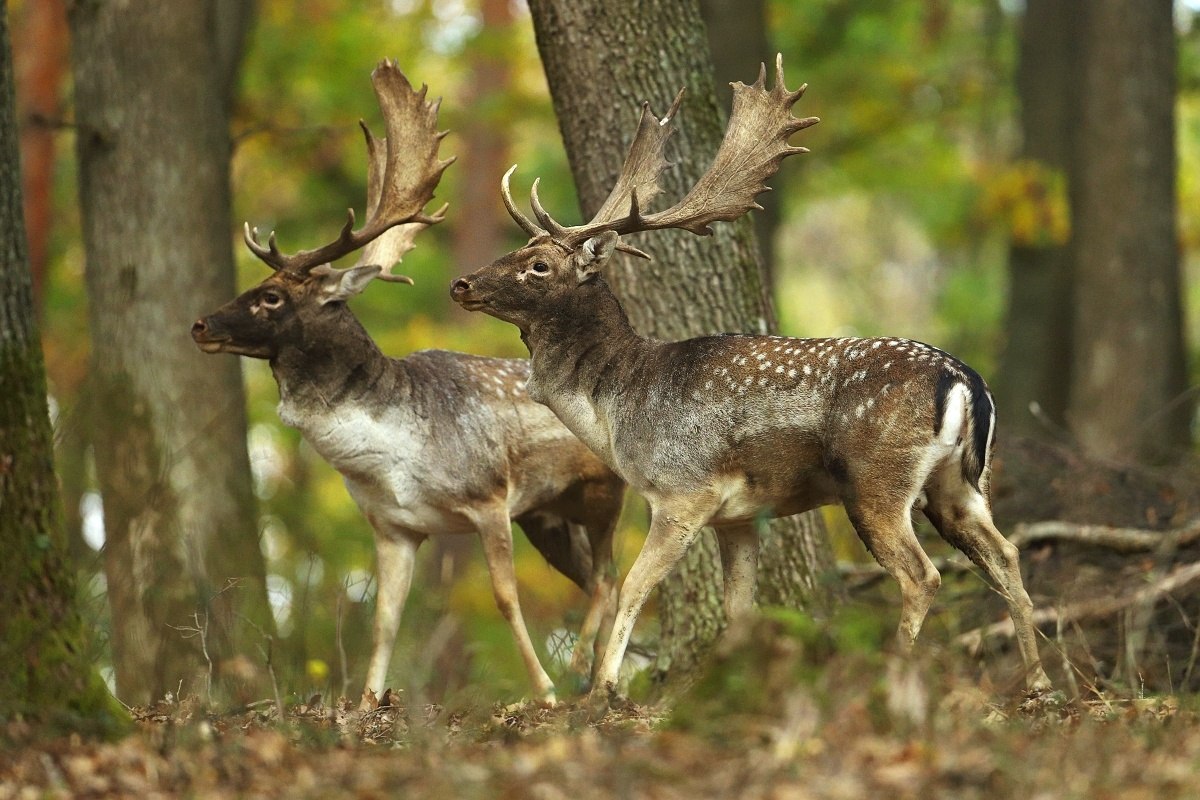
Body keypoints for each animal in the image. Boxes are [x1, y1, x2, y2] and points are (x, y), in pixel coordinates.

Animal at [192, 59, 624, 705]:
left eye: (270, 297)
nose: (200, 324)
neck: (394, 457)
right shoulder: (392, 527)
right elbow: (386, 618)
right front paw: (367, 702)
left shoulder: (487, 496)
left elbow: (505, 598)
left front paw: (542, 691)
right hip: (547, 515)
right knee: (601, 580)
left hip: (602, 491)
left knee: (607, 581)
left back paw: (581, 678)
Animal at [451, 57, 1051, 705]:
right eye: (519, 247)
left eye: (539, 264)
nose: (462, 284)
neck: (617, 407)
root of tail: (964, 380)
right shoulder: (737, 516)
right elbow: (740, 611)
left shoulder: (682, 491)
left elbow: (635, 586)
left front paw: (603, 692)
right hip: (958, 484)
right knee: (1006, 554)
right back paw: (1039, 683)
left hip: (876, 480)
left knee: (924, 575)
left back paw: (890, 680)